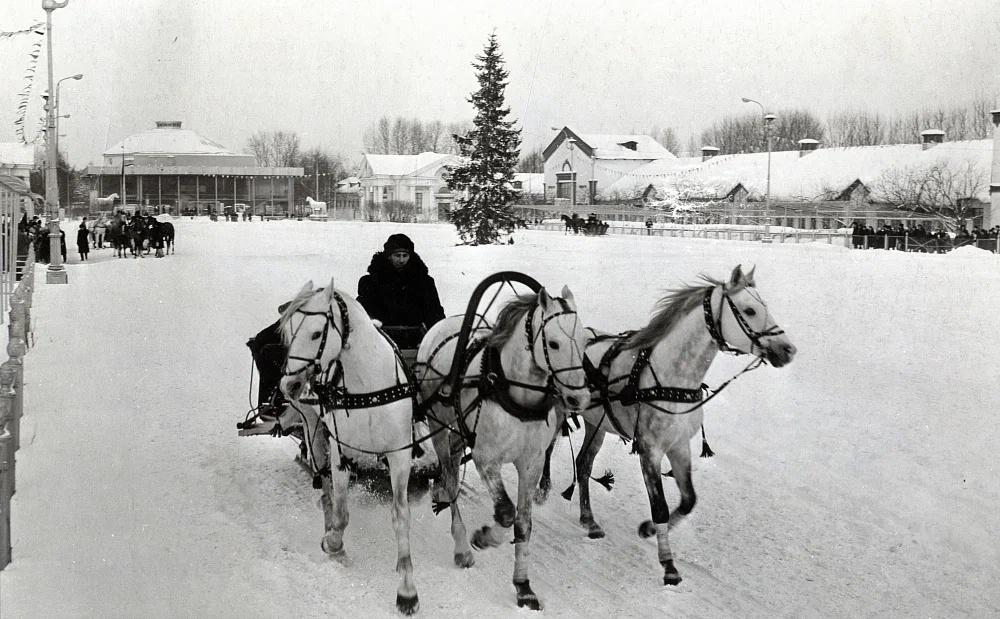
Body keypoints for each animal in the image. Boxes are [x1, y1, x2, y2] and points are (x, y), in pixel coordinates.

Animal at [278, 280, 422, 616]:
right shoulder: (341, 451)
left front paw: (407, 590)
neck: (367, 385)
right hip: (314, 428)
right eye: (288, 332)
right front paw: (333, 542)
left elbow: (401, 516)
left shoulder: (400, 455)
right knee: (324, 484)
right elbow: (341, 511)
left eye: (316, 333)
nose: (287, 386)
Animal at [416, 286, 592, 612]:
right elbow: (506, 511)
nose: (579, 398)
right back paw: (461, 547)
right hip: (439, 430)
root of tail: (440, 326)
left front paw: (523, 586)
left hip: (459, 434)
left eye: (585, 341)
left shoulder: (532, 463)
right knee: (450, 481)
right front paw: (483, 538)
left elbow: (523, 523)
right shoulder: (486, 458)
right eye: (553, 343)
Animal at [548, 266, 796, 588]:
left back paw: (589, 520)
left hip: (596, 425)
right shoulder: (650, 450)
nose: (788, 349)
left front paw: (648, 529)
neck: (670, 378)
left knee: (584, 463)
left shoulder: (679, 446)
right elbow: (661, 507)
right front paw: (668, 564)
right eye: (750, 310)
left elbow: (688, 500)